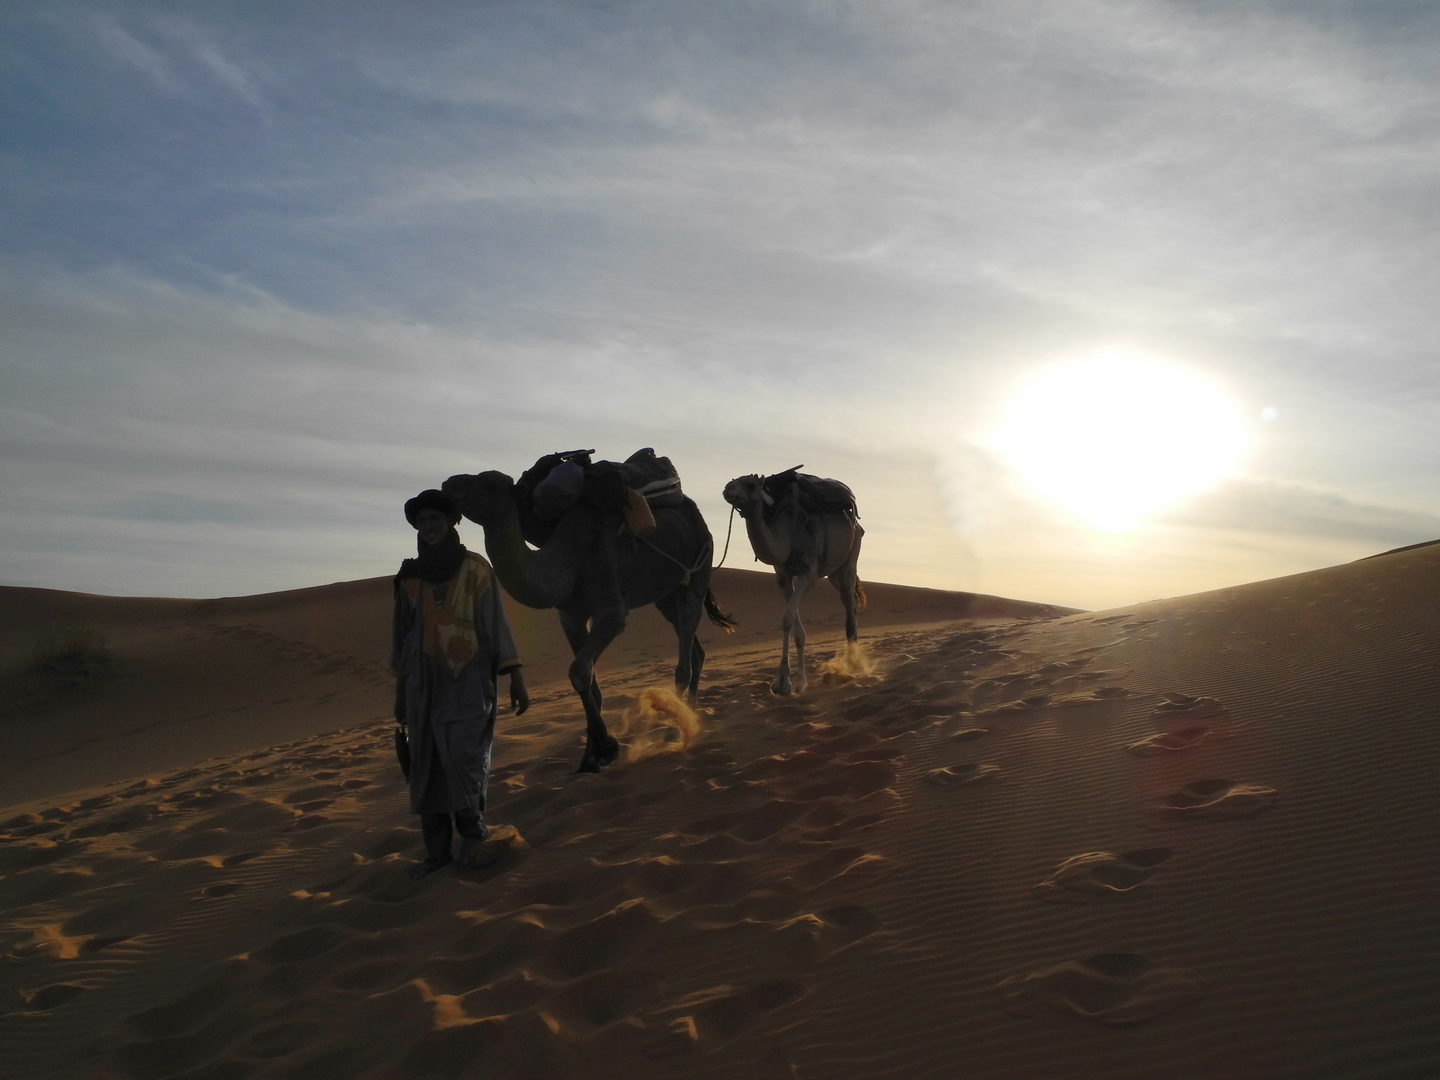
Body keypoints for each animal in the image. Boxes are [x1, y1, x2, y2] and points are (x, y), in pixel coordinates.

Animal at [440, 469, 737, 771]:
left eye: (490, 482)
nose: (450, 483)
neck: (570, 559)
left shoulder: (612, 612)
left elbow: (579, 671)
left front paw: (605, 748)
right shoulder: (571, 615)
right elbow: (591, 680)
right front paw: (590, 753)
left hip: (699, 571)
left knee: (685, 652)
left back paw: (675, 730)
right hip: (666, 594)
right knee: (694, 649)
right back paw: (690, 715)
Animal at [720, 472, 864, 694]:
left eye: (751, 485)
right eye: (733, 480)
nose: (728, 489)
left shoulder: (809, 574)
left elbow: (787, 618)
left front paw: (783, 682)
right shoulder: (783, 576)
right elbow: (795, 629)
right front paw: (796, 681)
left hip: (850, 557)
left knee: (850, 612)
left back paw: (853, 666)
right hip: (834, 573)